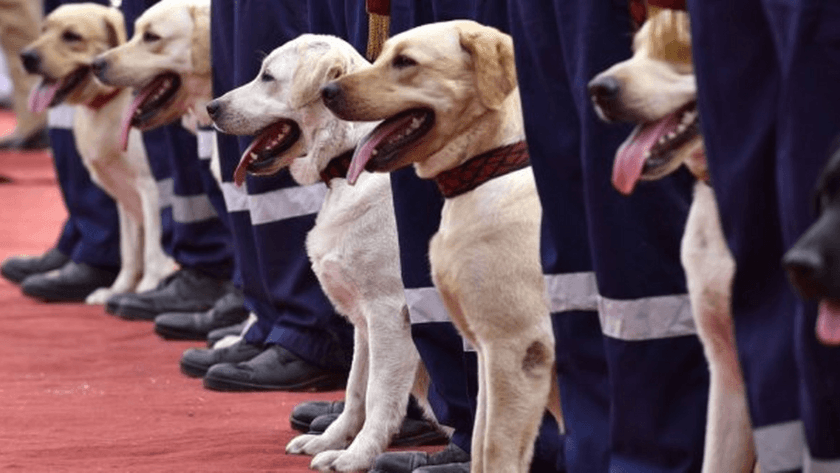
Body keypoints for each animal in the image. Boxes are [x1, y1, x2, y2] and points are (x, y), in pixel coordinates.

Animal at [20, 2, 174, 302]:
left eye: (72, 36)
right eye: (44, 30)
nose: (26, 57)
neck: (107, 103)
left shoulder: (152, 187)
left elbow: (153, 249)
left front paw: (147, 288)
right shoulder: (124, 196)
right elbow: (129, 252)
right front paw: (118, 290)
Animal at [208, 35, 440, 470]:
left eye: (267, 76)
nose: (211, 107)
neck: (352, 159)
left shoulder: (390, 313)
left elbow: (380, 395)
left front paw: (357, 455)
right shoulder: (364, 321)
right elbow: (355, 390)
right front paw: (331, 441)